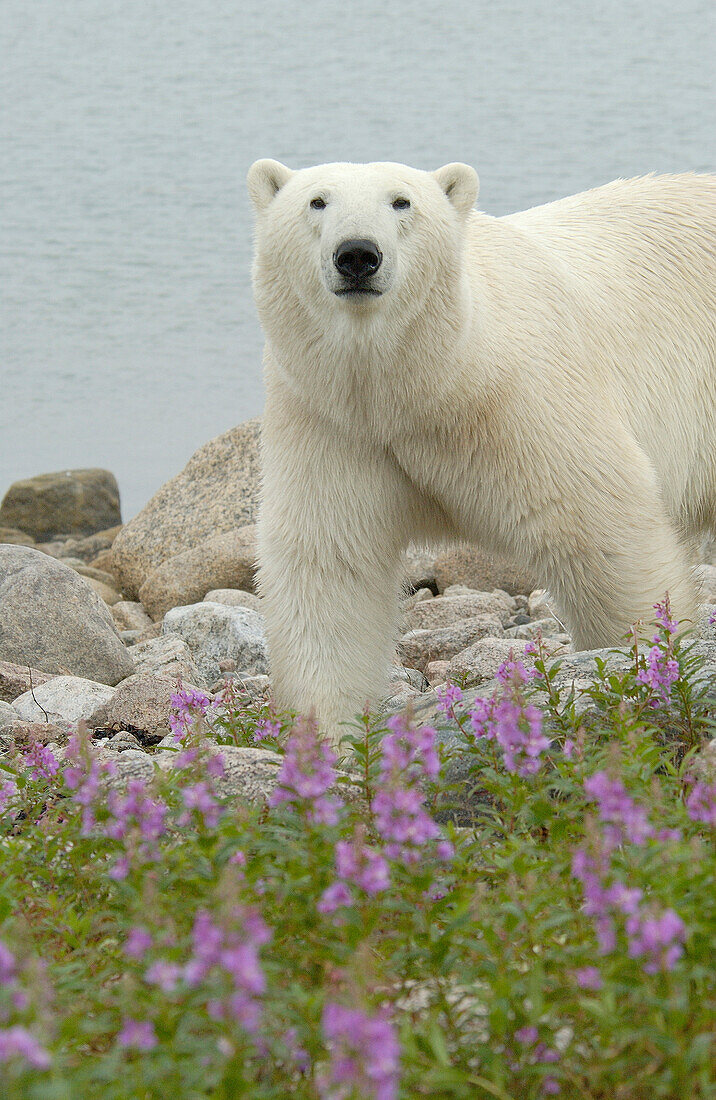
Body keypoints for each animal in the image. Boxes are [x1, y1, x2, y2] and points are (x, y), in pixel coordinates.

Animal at [247, 159, 716, 743]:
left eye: (401, 201)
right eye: (317, 201)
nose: (357, 254)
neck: (426, 382)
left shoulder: (522, 397)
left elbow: (600, 528)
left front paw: (647, 665)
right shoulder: (332, 421)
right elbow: (329, 562)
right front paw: (326, 735)